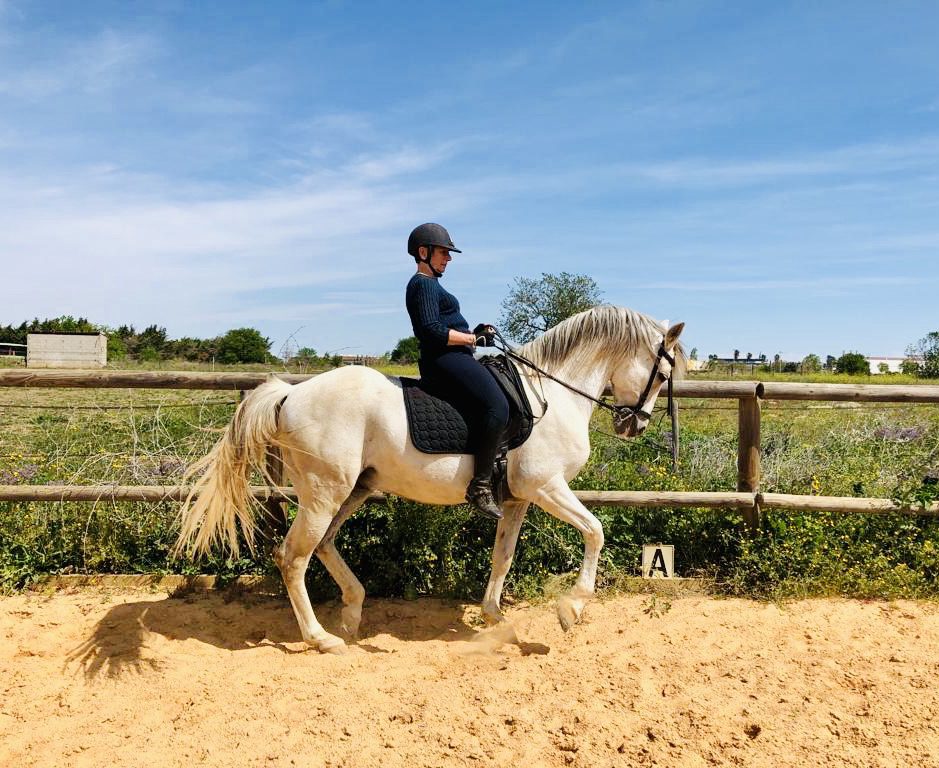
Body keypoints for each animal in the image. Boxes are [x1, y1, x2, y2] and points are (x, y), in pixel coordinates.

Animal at [176, 306, 688, 656]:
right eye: (663, 373)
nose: (634, 425)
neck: (552, 393)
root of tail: (290, 394)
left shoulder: (517, 499)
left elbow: (503, 556)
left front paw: (494, 615)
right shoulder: (546, 487)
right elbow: (595, 531)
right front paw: (571, 609)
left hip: (353, 489)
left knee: (323, 545)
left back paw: (352, 613)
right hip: (325, 492)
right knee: (292, 556)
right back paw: (322, 638)